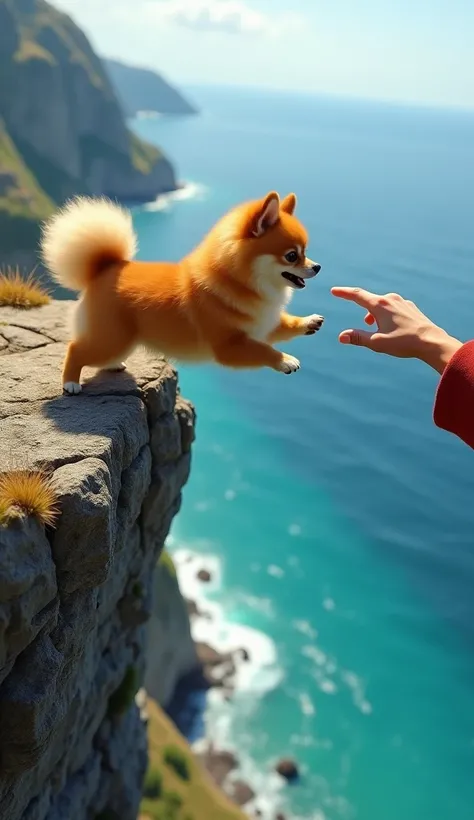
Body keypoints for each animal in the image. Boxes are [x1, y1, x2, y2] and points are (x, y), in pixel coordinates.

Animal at [39, 190, 322, 394]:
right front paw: (285, 360)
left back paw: (113, 366)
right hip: (110, 338)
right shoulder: (229, 347)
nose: (317, 267)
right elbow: (264, 350)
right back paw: (70, 383)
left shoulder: (263, 324)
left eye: (306, 252)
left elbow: (282, 326)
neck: (240, 282)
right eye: (292, 256)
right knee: (75, 348)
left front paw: (309, 322)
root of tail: (105, 266)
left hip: (122, 340)